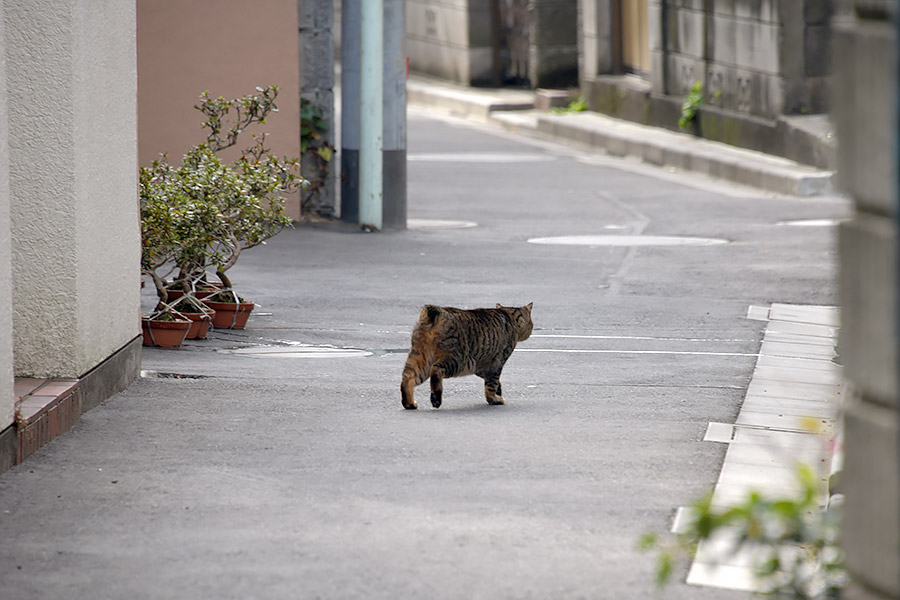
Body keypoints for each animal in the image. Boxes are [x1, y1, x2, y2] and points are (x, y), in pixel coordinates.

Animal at [398, 302, 532, 410]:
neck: (507, 316)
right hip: (456, 360)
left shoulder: (481, 365)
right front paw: (495, 399)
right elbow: (491, 384)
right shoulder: (496, 364)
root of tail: (435, 311)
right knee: (436, 370)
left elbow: (491, 380)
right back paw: (436, 398)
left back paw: (409, 404)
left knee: (407, 378)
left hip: (420, 359)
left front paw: (498, 390)